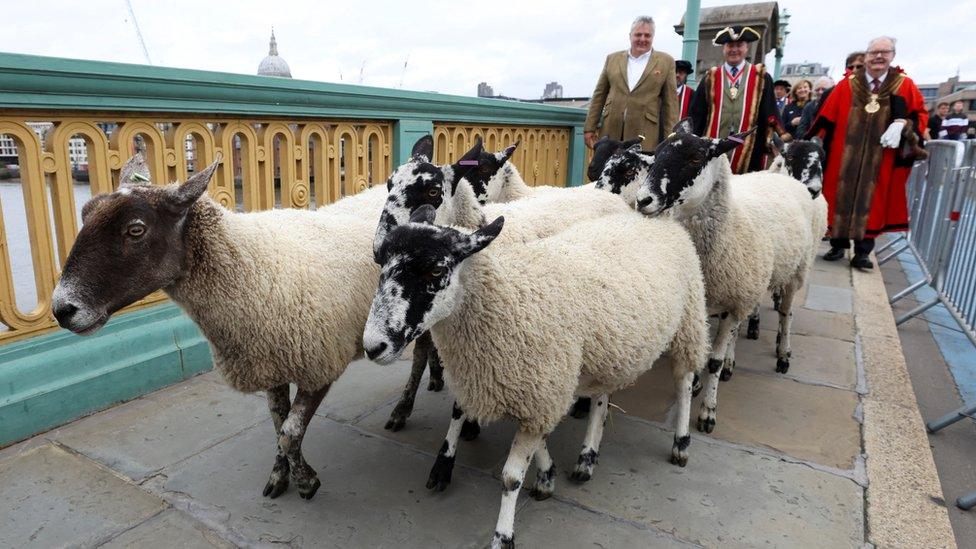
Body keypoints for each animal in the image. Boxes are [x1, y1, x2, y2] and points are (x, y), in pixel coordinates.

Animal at [362, 206, 704, 548]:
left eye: (435, 270)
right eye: (381, 263)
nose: (373, 346)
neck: (507, 301)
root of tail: (660, 219)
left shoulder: (543, 388)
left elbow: (511, 476)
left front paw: (503, 535)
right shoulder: (536, 388)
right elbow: (535, 442)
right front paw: (547, 475)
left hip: (690, 319)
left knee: (685, 382)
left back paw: (681, 443)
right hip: (609, 351)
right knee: (602, 396)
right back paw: (587, 457)